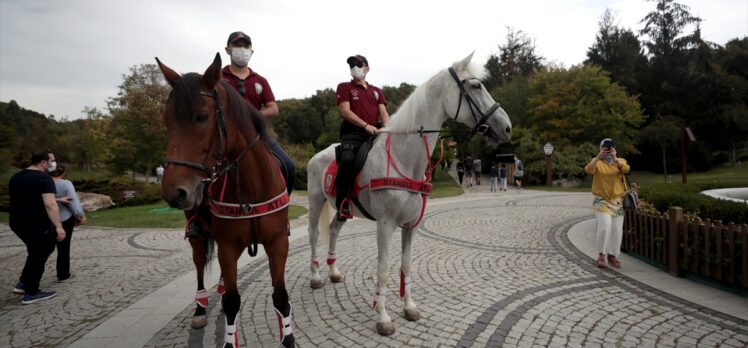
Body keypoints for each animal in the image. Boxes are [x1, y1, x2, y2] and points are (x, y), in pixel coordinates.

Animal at [156, 53, 294, 346]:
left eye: (202, 116)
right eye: (166, 120)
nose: (174, 192)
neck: (250, 187)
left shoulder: (278, 242)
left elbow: (280, 297)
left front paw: (288, 338)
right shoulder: (229, 246)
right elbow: (232, 302)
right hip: (198, 234)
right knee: (199, 263)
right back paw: (201, 308)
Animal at [304, 53, 508, 336]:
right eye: (476, 86)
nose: (507, 127)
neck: (403, 158)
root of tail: (316, 157)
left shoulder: (412, 225)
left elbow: (406, 265)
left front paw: (409, 307)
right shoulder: (385, 225)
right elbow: (383, 270)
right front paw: (383, 317)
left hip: (343, 208)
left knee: (333, 230)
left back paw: (333, 271)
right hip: (316, 201)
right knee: (313, 234)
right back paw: (315, 277)